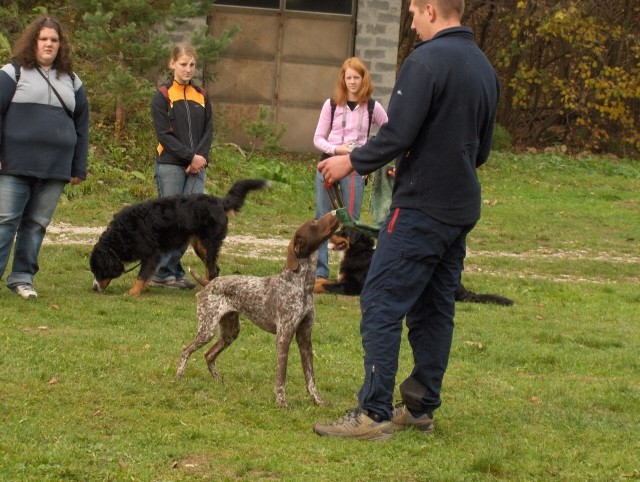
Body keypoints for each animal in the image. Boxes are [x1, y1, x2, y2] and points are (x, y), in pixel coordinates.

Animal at [89, 179, 264, 296]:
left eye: (99, 270)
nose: (94, 288)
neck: (123, 233)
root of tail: (220, 202)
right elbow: (147, 275)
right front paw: (144, 288)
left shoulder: (152, 254)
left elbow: (141, 276)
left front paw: (133, 292)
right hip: (200, 246)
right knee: (213, 269)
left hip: (209, 243)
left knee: (212, 270)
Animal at [312, 229, 512, 306]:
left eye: (342, 232)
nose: (328, 235)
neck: (358, 252)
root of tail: (461, 288)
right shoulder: (341, 279)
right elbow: (322, 281)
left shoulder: (350, 286)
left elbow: (324, 286)